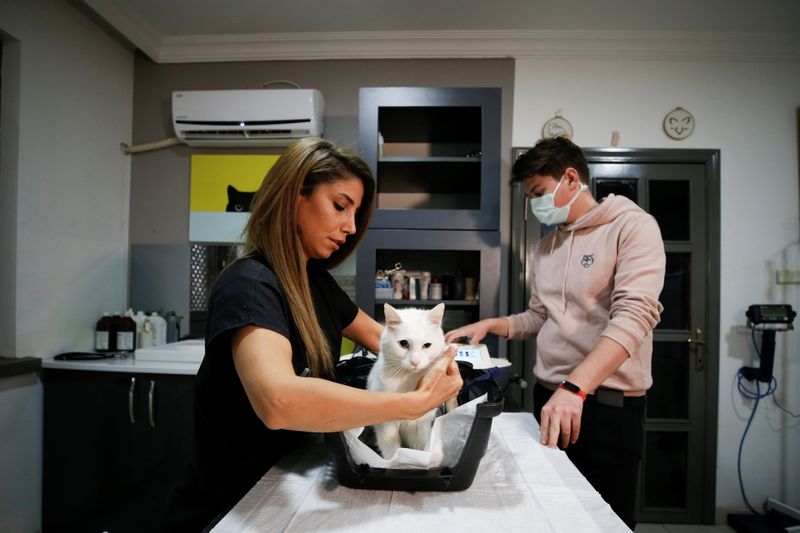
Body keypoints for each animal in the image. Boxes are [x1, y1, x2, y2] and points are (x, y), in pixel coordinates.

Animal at [368, 302, 450, 460]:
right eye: (403, 343)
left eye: (427, 345)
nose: (415, 362)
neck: (408, 381)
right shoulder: (386, 427)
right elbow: (392, 452)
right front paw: (394, 462)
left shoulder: (420, 425)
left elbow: (420, 448)